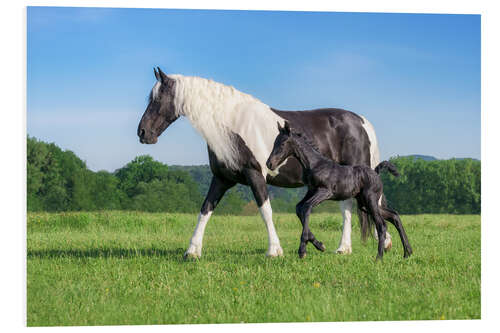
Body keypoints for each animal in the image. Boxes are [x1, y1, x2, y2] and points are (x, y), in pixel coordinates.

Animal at [268, 121, 412, 260]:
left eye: (282, 143)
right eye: (274, 142)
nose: (269, 164)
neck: (315, 164)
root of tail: (376, 172)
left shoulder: (325, 192)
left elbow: (306, 208)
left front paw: (302, 250)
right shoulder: (311, 191)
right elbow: (299, 208)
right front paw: (319, 245)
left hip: (370, 200)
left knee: (382, 225)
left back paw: (379, 257)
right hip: (365, 203)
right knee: (394, 216)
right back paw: (407, 253)